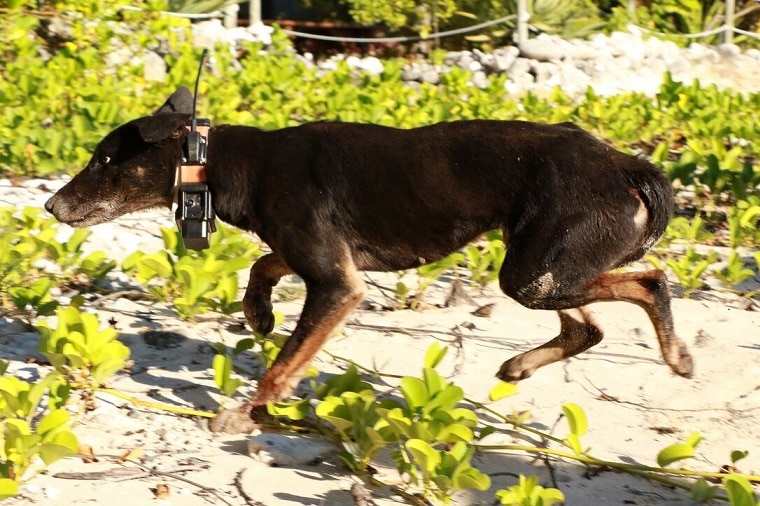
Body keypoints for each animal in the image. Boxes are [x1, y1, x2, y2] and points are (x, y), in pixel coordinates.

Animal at [44, 85, 692, 432]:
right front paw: (257, 311)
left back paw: (676, 354)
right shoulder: (325, 262)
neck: (229, 162)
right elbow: (264, 265)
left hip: (535, 271)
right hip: (544, 263)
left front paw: (246, 412)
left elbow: (282, 365)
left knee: (650, 281)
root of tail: (625, 164)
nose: (50, 204)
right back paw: (519, 367)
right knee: (589, 326)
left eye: (105, 161)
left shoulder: (337, 284)